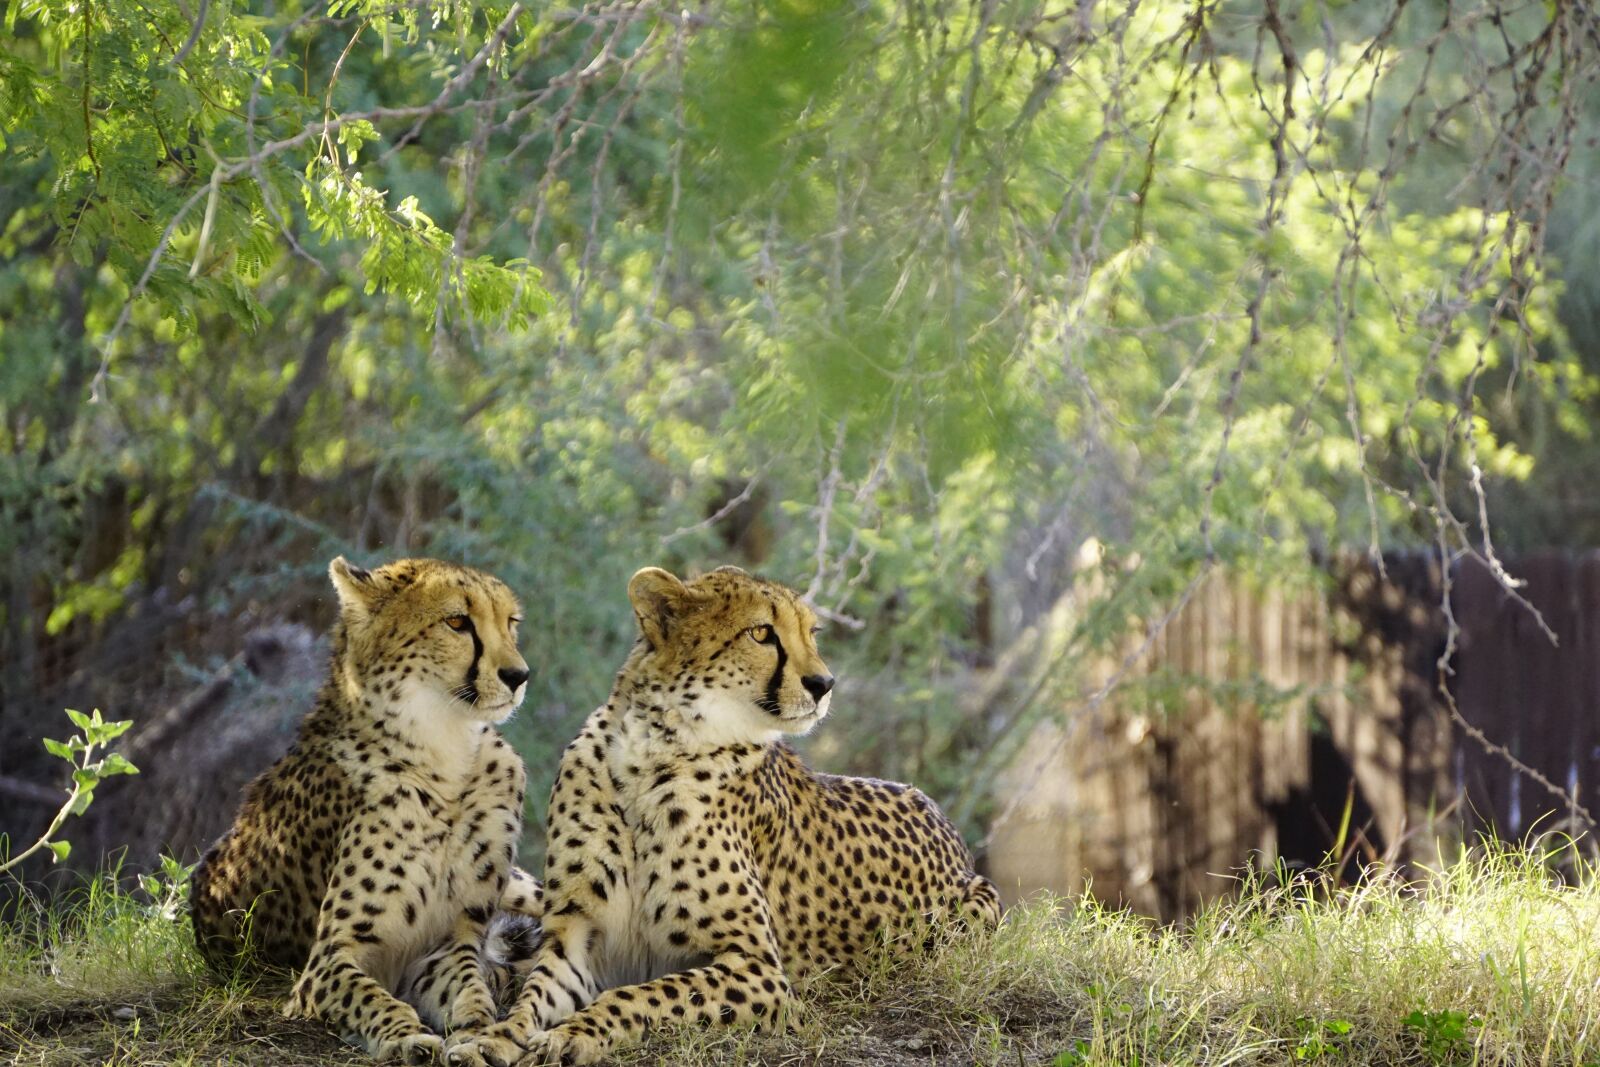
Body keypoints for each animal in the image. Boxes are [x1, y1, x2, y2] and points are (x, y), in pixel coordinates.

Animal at [190, 556, 545, 1064]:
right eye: (458, 622)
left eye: (510, 622)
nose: (519, 676)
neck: (445, 756)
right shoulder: (327, 962)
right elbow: (372, 997)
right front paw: (407, 1038)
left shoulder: (445, 944)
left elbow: (470, 990)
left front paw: (478, 1032)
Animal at [451, 565, 1000, 1067]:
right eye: (762, 633)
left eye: (812, 633)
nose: (824, 683)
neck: (652, 751)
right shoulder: (575, 935)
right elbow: (533, 998)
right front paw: (493, 1039)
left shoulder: (760, 968)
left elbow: (641, 994)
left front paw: (574, 1034)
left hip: (972, 911)